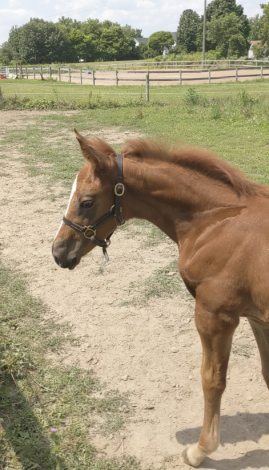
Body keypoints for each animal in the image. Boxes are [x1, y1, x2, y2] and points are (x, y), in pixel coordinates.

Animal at [52, 130, 268, 468]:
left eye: (86, 202)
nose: (58, 252)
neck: (215, 223)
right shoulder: (258, 319)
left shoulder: (215, 315)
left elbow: (212, 380)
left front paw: (200, 449)